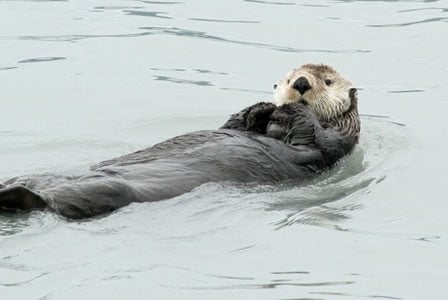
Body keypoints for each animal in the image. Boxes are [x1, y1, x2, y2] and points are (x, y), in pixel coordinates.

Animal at [0, 63, 358, 218]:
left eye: (327, 81)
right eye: (287, 77)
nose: (300, 83)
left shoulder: (335, 141)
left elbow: (316, 139)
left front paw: (289, 112)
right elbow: (234, 124)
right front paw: (259, 109)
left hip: (103, 192)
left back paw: (16, 196)